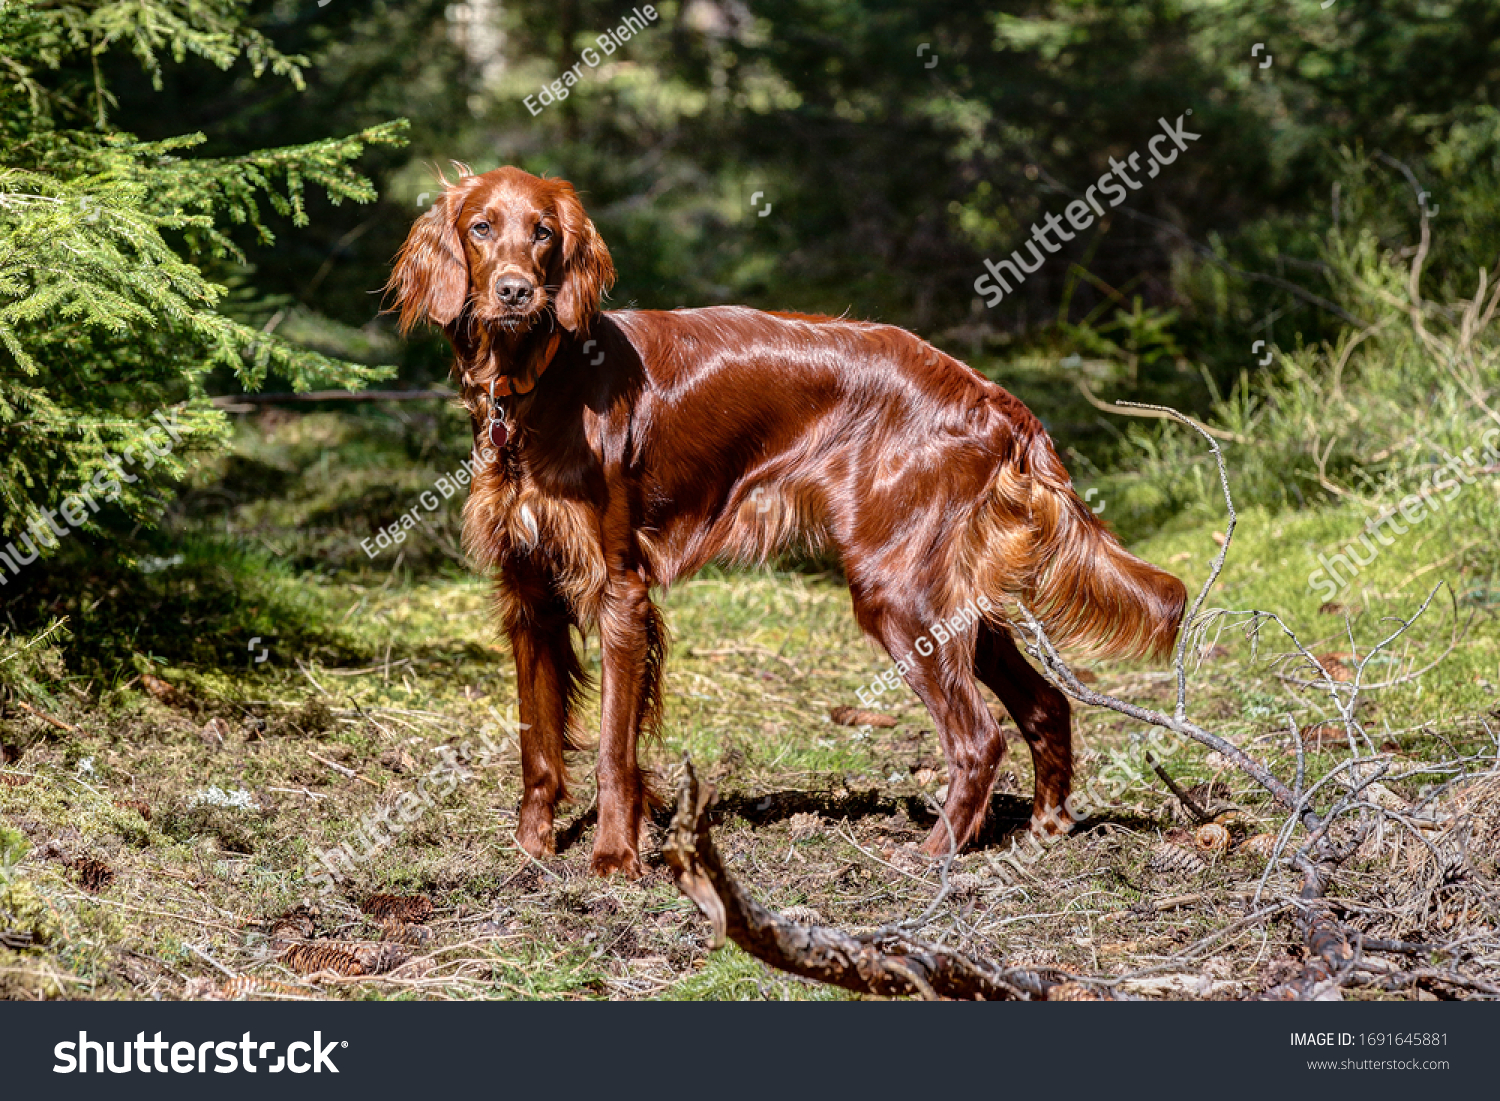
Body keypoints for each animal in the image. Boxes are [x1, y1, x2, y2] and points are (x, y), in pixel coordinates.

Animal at [387, 165, 1182, 882]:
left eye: (543, 232)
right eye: (481, 227)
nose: (515, 290)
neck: (540, 383)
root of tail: (986, 391)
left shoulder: (619, 593)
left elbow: (614, 749)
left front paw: (614, 858)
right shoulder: (529, 595)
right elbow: (538, 744)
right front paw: (531, 847)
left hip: (898, 590)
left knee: (979, 736)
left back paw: (932, 855)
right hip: (947, 591)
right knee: (1046, 704)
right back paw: (1045, 828)